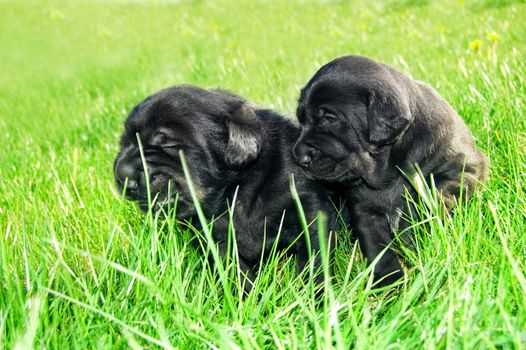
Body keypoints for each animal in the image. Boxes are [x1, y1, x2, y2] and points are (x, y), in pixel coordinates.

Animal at [113, 85, 348, 292]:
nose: (121, 175)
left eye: (165, 142)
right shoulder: (214, 241)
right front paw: (248, 301)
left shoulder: (310, 209)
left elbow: (314, 261)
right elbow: (235, 271)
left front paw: (316, 300)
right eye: (123, 143)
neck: (234, 190)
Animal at [294, 55, 488, 288]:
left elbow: (436, 196)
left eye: (330, 118)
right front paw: (391, 286)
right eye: (301, 120)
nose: (297, 156)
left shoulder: (462, 169)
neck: (387, 170)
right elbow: (378, 251)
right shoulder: (366, 213)